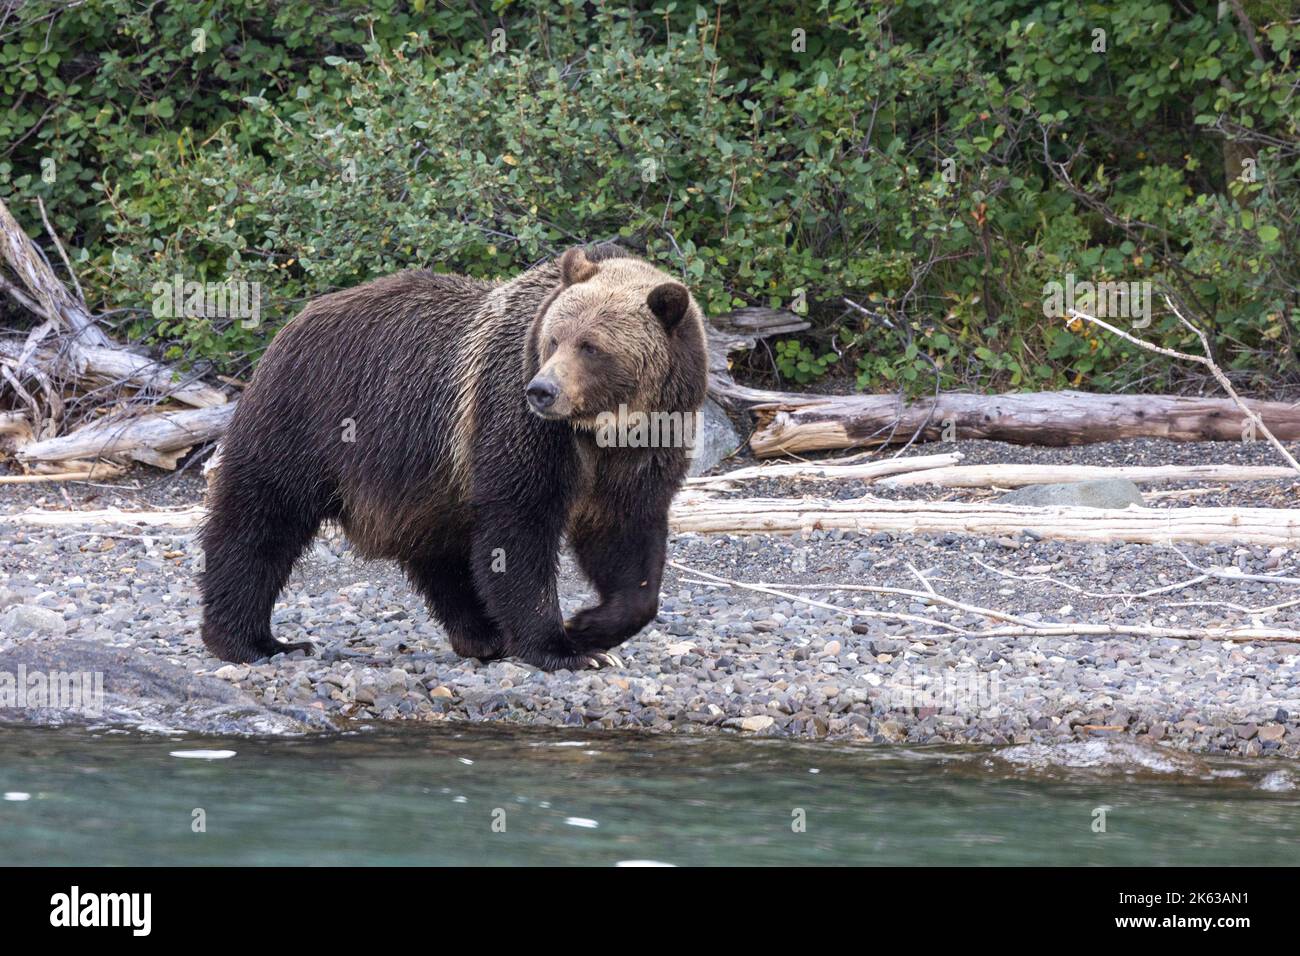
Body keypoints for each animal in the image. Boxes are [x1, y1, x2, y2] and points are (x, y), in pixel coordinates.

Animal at [200, 243, 712, 671]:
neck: (602, 430)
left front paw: (590, 628)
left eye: (591, 346)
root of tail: (293, 322)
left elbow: (628, 541)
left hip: (422, 479)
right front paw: (562, 646)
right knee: (262, 519)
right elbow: (518, 528)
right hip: (307, 417)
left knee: (439, 552)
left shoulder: (644, 451)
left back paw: (482, 635)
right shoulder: (520, 425)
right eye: (554, 340)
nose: (542, 390)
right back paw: (252, 640)